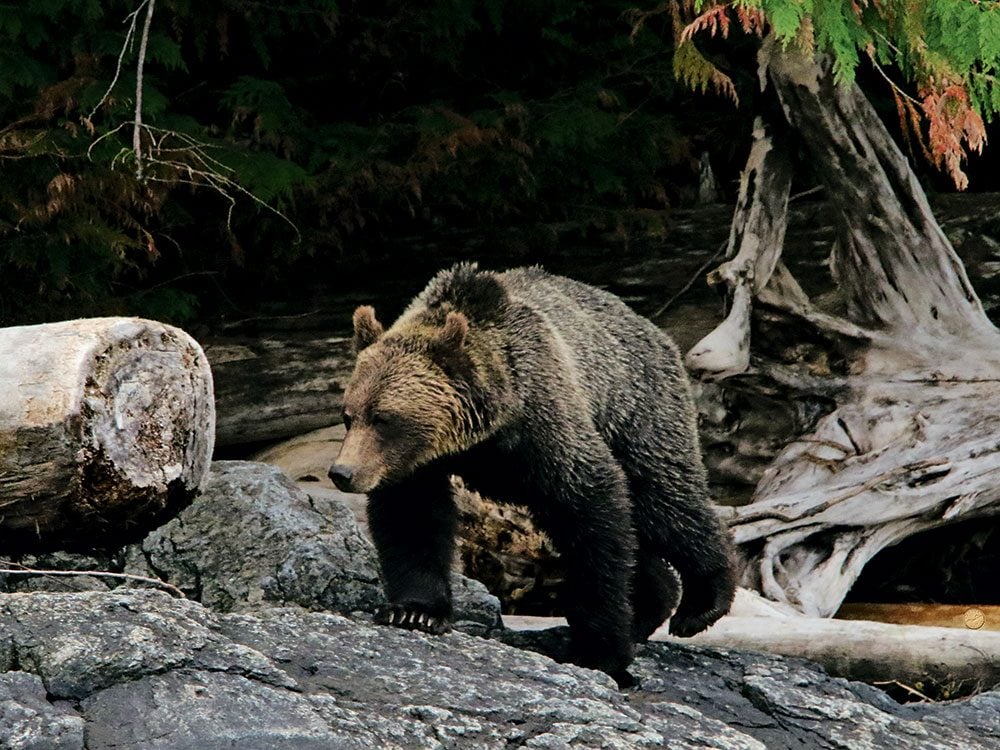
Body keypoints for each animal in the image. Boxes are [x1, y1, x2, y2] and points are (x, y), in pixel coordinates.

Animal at [328, 264, 736, 688]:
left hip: (636, 409)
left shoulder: (544, 424)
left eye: (383, 418)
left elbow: (593, 513)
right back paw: (652, 605)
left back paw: (701, 605)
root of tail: (655, 331)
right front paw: (414, 611)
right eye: (349, 414)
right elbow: (411, 518)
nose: (343, 473)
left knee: (665, 498)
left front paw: (598, 651)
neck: (485, 432)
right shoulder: (416, 465)